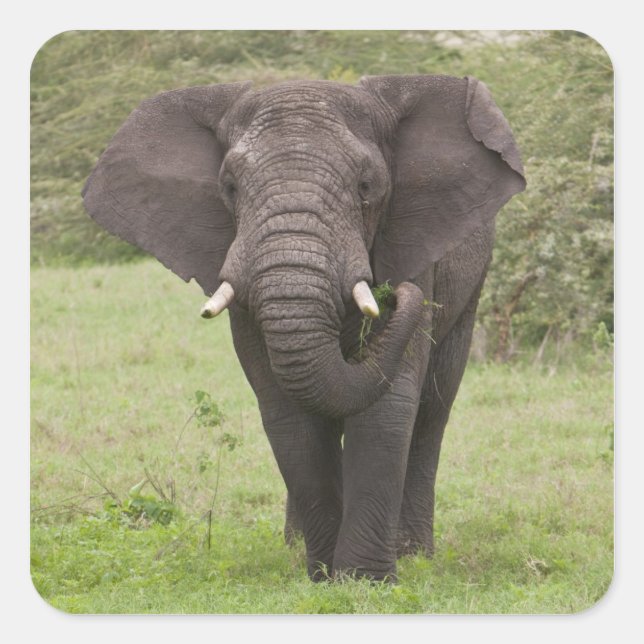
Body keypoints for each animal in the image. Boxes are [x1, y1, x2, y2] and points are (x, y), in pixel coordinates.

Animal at [82, 74, 525, 581]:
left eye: (366, 186)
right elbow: (286, 412)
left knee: (433, 409)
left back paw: (414, 553)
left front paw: (365, 580)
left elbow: (389, 408)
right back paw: (295, 546)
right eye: (229, 187)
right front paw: (324, 576)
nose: (395, 294)